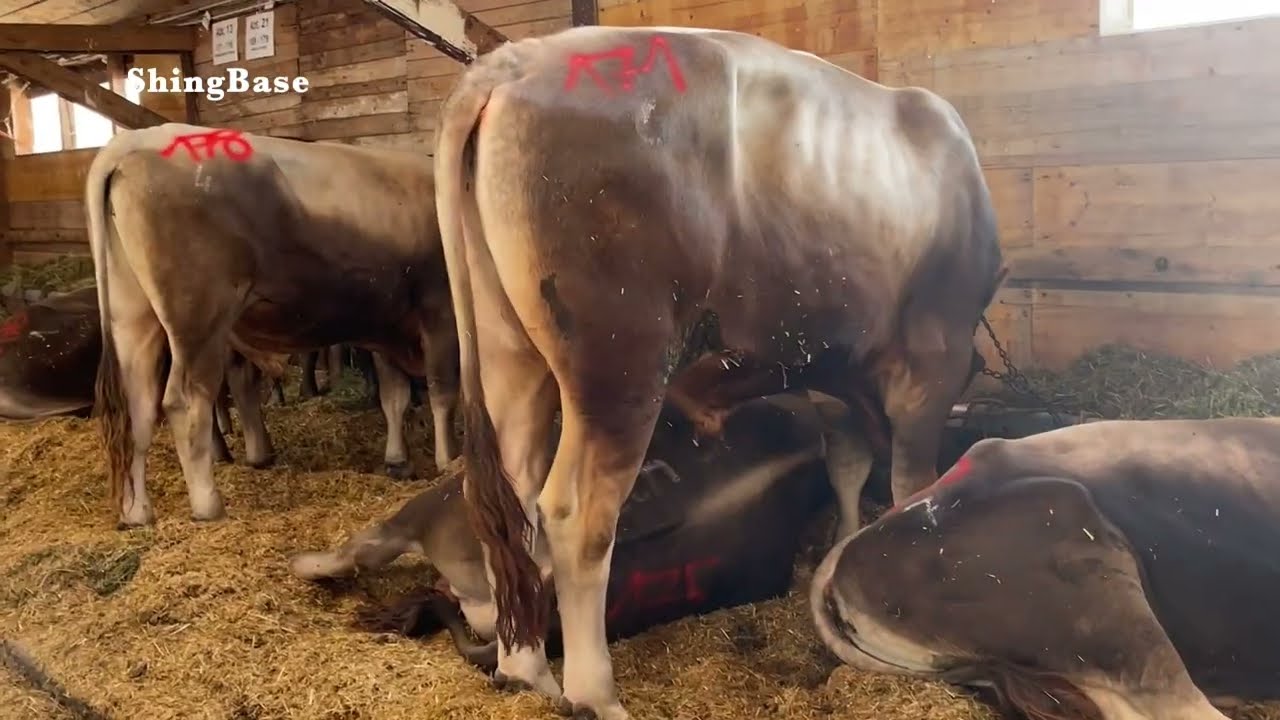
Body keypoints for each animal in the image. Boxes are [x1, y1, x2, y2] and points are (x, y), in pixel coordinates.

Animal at [86, 123, 461, 528]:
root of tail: (136, 138)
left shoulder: (389, 322)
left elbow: (395, 397)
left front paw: (398, 460)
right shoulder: (440, 312)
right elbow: (443, 392)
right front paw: (449, 461)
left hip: (133, 317)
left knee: (137, 408)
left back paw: (137, 511)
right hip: (199, 319)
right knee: (185, 402)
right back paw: (208, 504)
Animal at [433, 26, 1003, 717]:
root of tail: (518, 60)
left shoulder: (831, 364)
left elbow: (847, 463)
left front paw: (841, 549)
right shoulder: (932, 359)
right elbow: (909, 484)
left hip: (509, 352)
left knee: (509, 499)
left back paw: (526, 671)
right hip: (621, 364)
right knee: (576, 514)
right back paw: (595, 693)